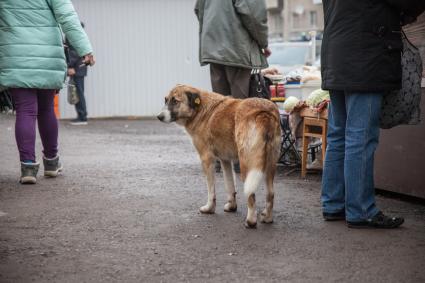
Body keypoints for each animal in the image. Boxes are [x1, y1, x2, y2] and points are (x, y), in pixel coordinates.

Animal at [157, 85, 280, 230]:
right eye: (166, 100)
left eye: (175, 101)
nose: (159, 117)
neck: (200, 110)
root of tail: (264, 112)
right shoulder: (225, 160)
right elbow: (229, 185)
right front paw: (232, 206)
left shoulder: (206, 159)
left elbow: (211, 190)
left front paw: (209, 208)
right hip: (270, 163)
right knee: (270, 194)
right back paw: (267, 218)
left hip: (247, 164)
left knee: (251, 195)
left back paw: (250, 221)